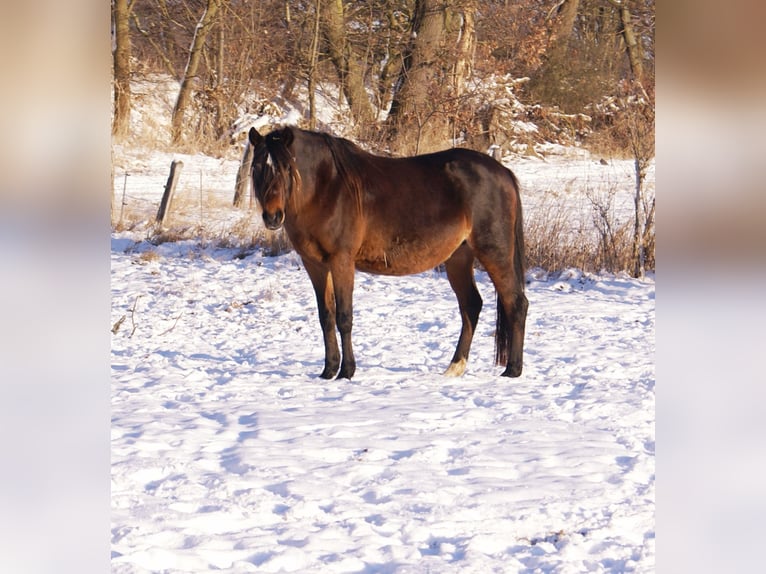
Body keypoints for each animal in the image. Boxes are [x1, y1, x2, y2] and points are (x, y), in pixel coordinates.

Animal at [248, 125, 528, 380]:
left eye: (286, 168)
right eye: (258, 168)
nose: (273, 217)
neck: (326, 187)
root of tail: (503, 172)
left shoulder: (341, 260)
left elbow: (344, 317)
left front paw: (347, 372)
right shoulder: (315, 264)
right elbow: (326, 317)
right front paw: (328, 371)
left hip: (495, 252)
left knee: (516, 303)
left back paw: (512, 370)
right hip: (458, 258)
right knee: (471, 305)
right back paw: (455, 367)